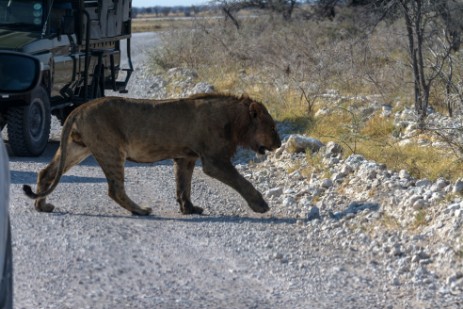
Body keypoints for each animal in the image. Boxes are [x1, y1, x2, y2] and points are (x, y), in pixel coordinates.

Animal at [23, 92, 282, 215]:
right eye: (272, 127)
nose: (279, 144)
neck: (235, 121)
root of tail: (79, 108)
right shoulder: (214, 161)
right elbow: (242, 182)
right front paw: (261, 205)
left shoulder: (185, 158)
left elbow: (183, 186)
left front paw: (189, 209)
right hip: (111, 150)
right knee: (115, 189)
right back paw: (140, 210)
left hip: (78, 148)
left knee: (46, 173)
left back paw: (42, 206)